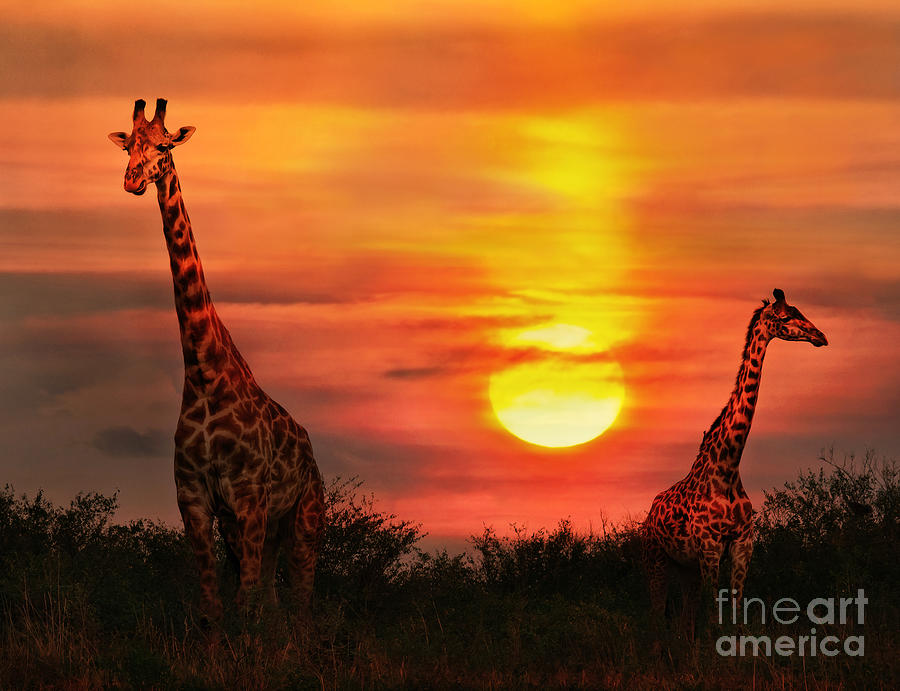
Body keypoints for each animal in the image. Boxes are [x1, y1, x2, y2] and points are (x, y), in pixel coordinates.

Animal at [108, 100, 326, 624]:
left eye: (164, 146)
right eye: (128, 146)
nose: (132, 180)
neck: (204, 372)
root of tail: (312, 452)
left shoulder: (248, 497)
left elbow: (244, 604)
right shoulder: (195, 500)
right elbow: (212, 604)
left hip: (303, 518)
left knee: (300, 602)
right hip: (263, 528)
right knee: (272, 596)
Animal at [644, 290, 828, 636]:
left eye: (801, 311)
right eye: (786, 317)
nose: (820, 336)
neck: (727, 469)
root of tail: (650, 512)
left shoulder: (743, 545)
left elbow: (735, 609)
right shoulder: (710, 546)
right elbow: (711, 613)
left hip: (685, 565)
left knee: (685, 614)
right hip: (656, 558)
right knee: (657, 612)